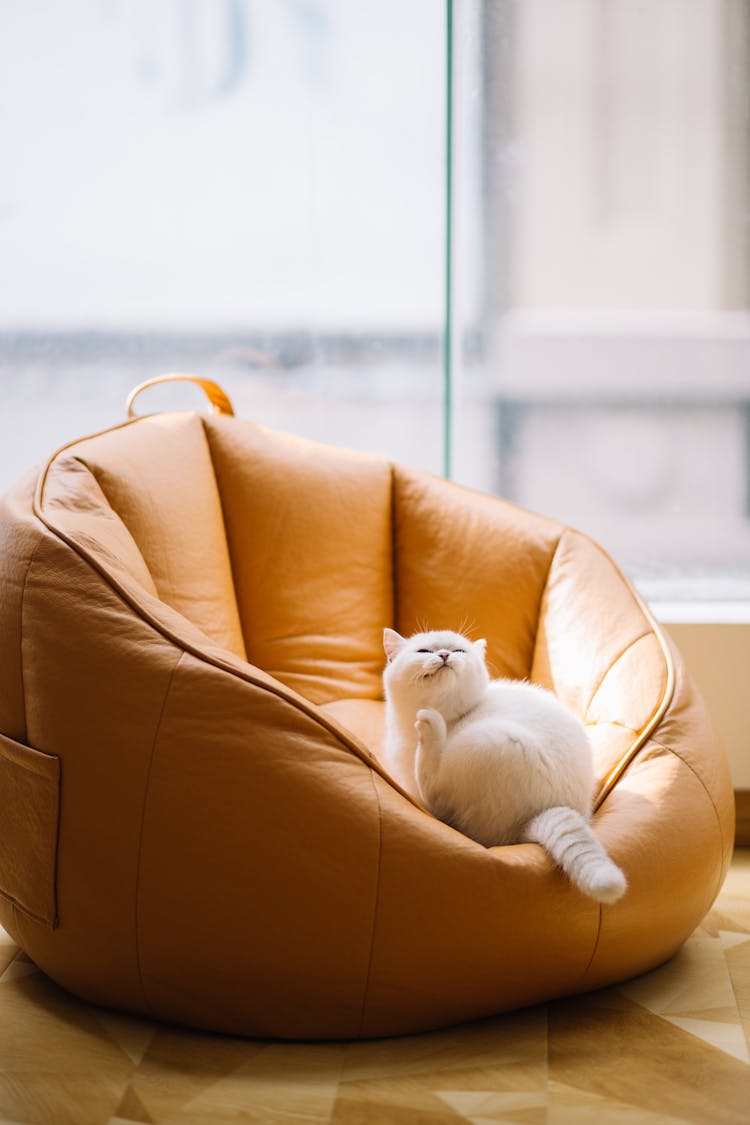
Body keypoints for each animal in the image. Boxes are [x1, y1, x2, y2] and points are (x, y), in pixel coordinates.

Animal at [382, 625, 629, 904]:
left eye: (459, 650)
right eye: (423, 651)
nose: (444, 655)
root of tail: (542, 811)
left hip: (493, 741)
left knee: (437, 798)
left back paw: (429, 725)